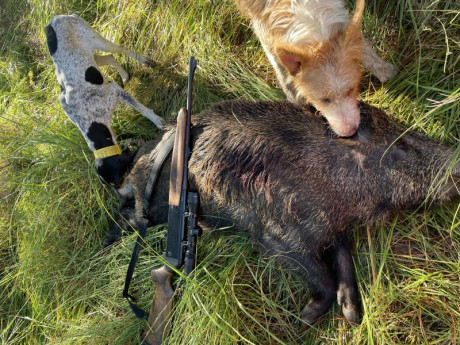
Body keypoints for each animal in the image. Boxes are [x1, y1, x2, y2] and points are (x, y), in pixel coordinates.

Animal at [45, 14, 164, 185]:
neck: (92, 123)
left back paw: (144, 61)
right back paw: (125, 76)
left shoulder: (115, 91)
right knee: (110, 58)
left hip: (99, 41)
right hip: (92, 57)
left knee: (120, 49)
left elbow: (144, 111)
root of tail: (52, 21)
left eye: (119, 179)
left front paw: (158, 121)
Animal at [235, 0, 398, 136]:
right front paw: (293, 98)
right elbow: (280, 67)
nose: (350, 132)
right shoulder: (262, 28)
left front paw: (382, 68)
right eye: (324, 100)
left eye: (351, 90)